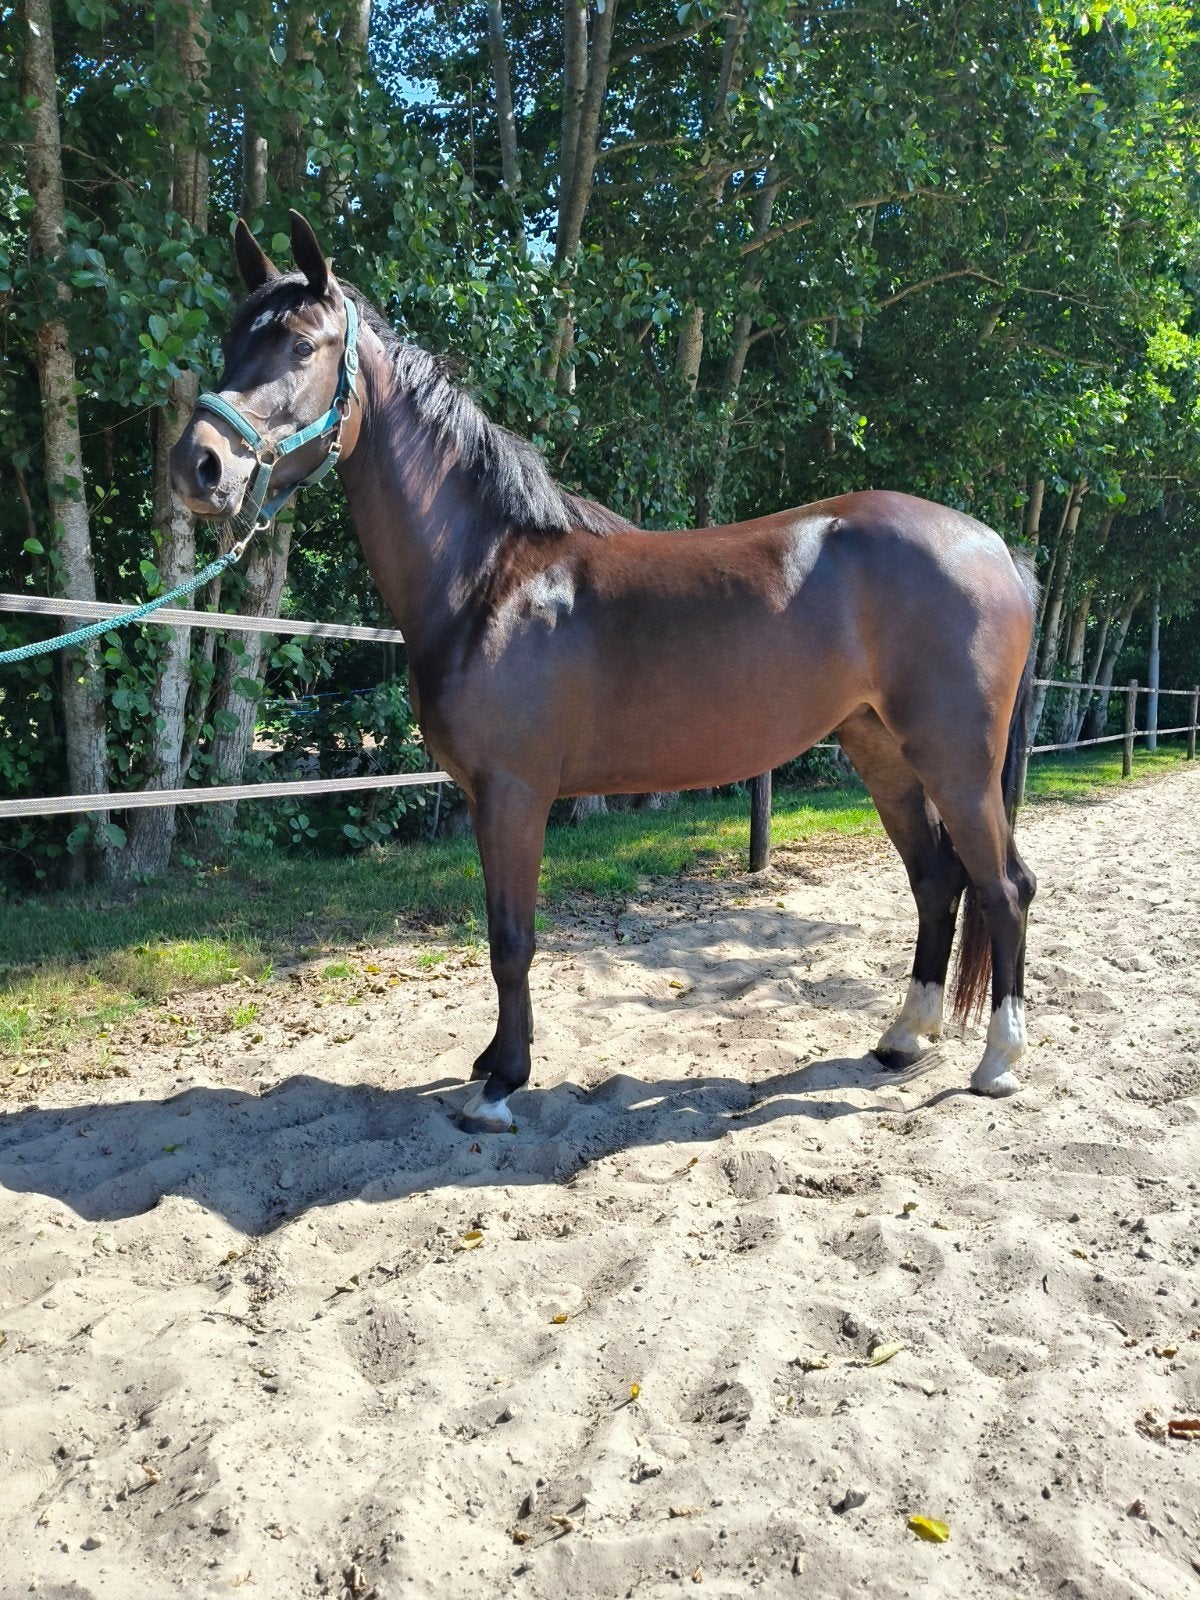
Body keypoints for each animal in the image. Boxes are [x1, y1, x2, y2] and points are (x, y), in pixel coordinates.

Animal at [171, 211, 1038, 1135]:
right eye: (230, 341)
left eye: (302, 344)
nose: (198, 466)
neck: (490, 578)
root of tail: (995, 549)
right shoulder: (487, 798)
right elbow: (498, 934)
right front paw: (490, 1063)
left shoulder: (515, 794)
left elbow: (512, 941)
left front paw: (501, 1084)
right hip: (880, 752)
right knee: (937, 881)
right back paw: (904, 1038)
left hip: (955, 760)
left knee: (1002, 886)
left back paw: (997, 1062)